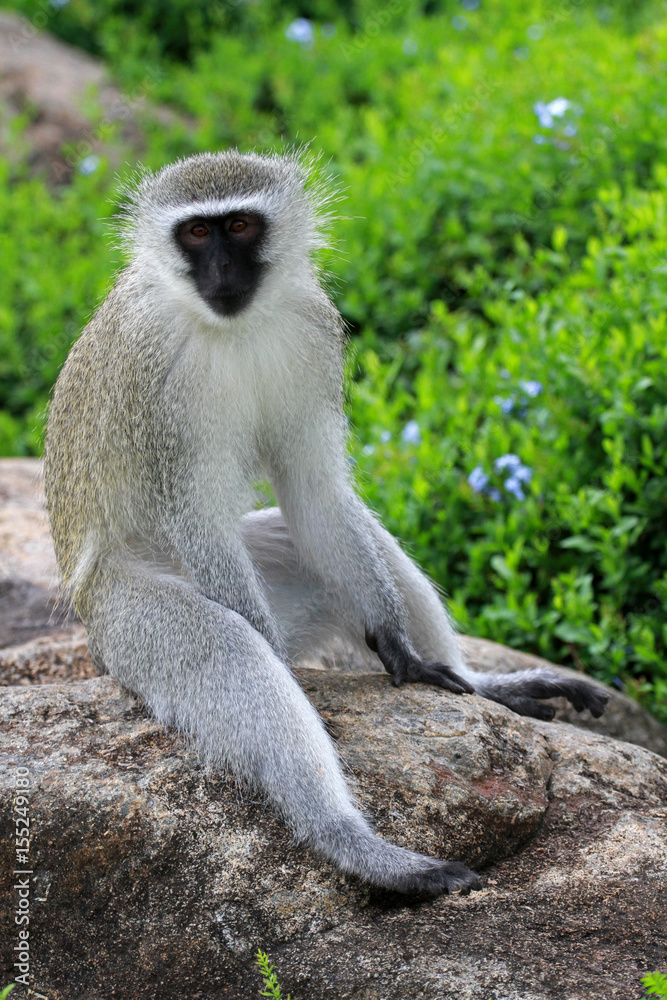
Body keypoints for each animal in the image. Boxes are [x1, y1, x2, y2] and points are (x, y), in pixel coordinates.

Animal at [45, 150, 612, 900]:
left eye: (238, 226)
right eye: (195, 233)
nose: (220, 273)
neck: (232, 328)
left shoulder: (311, 330)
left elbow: (313, 488)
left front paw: (398, 643)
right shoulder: (157, 385)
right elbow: (196, 515)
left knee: (325, 535)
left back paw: (485, 685)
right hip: (123, 622)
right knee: (231, 647)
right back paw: (362, 847)